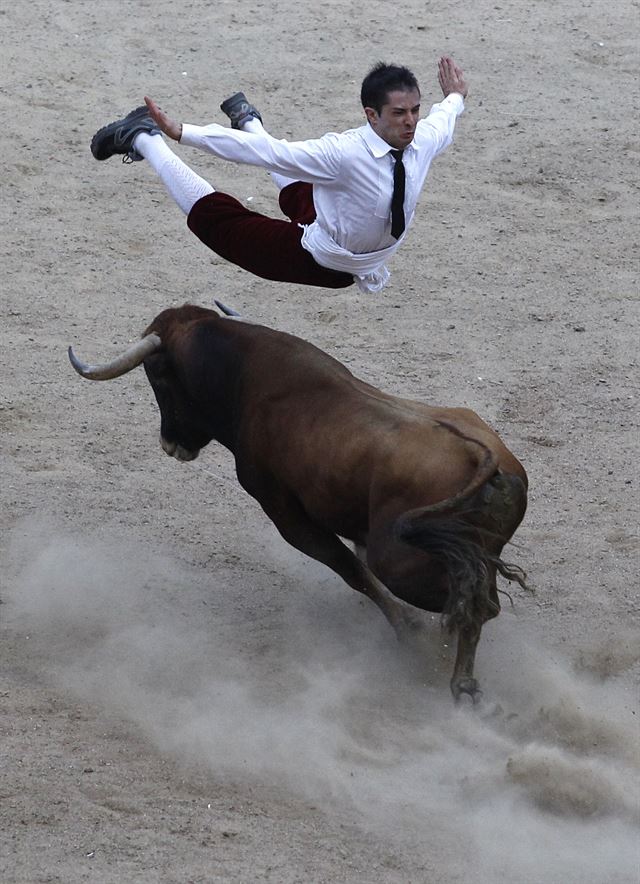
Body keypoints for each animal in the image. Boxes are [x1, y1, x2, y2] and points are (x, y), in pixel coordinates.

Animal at [70, 306, 528, 704]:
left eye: (158, 377)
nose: (170, 444)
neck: (244, 376)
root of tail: (478, 455)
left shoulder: (286, 515)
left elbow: (352, 571)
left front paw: (409, 629)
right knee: (481, 601)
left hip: (399, 564)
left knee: (472, 605)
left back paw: (459, 681)